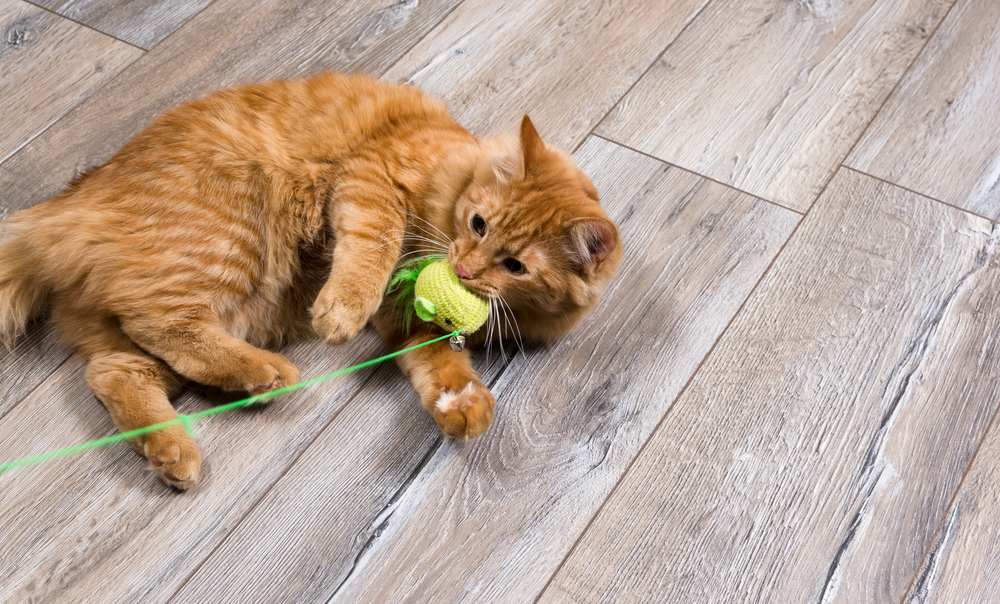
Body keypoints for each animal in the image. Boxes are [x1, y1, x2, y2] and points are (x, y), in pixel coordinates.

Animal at [0, 73, 620, 490]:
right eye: (478, 224)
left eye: (515, 267)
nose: (464, 268)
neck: (452, 176)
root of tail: (68, 205)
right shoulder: (373, 178)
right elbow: (371, 248)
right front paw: (341, 309)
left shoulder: (409, 321)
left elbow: (440, 363)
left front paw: (462, 403)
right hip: (227, 243)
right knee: (163, 327)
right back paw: (267, 375)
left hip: (186, 314)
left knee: (115, 371)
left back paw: (172, 451)